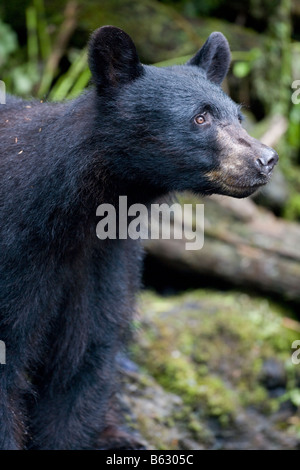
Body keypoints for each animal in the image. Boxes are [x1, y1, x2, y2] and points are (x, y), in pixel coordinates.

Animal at [0, 24, 276, 448]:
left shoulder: (104, 262)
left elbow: (81, 365)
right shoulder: (18, 255)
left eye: (240, 116)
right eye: (200, 117)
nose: (266, 159)